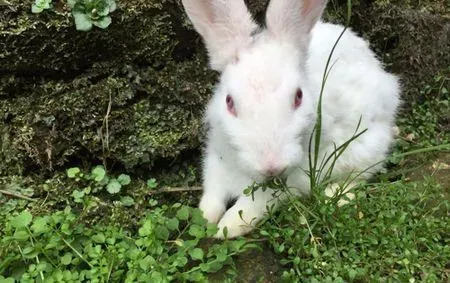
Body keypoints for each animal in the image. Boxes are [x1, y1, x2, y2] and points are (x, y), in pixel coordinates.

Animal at [181, 0, 400, 240]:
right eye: (229, 102)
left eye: (298, 96)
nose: (271, 166)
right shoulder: (216, 159)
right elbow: (213, 195)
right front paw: (205, 218)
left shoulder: (291, 179)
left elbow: (252, 205)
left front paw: (226, 228)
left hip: (366, 145)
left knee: (360, 175)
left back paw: (335, 196)